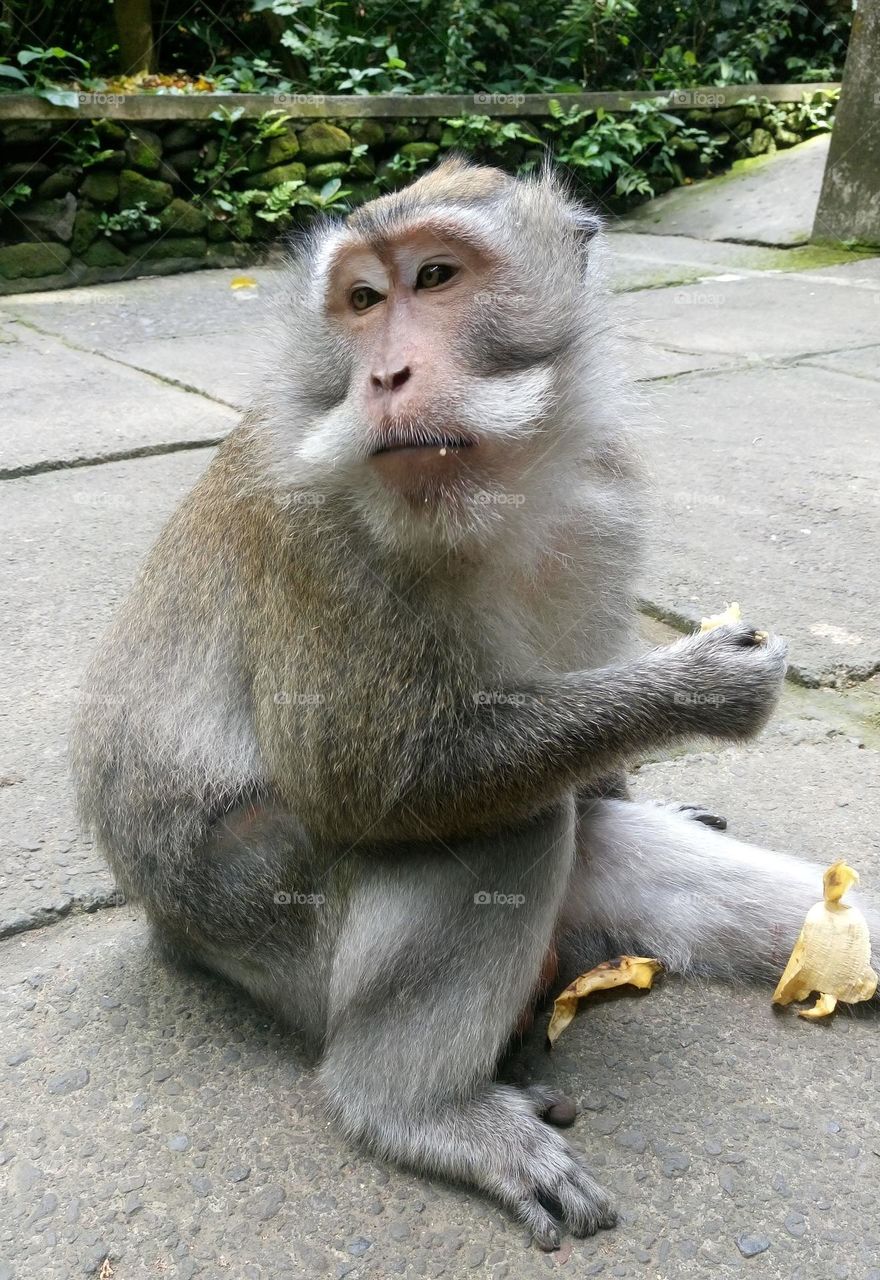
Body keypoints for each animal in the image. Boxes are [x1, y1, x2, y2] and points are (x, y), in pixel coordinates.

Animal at [70, 156, 867, 1251]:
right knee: (503, 820)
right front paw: (701, 685)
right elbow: (359, 780)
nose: (384, 377)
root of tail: (170, 930)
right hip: (271, 934)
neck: (501, 488)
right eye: (363, 301)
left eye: (437, 278)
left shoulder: (610, 489)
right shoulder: (314, 524)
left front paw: (644, 777)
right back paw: (418, 1111)